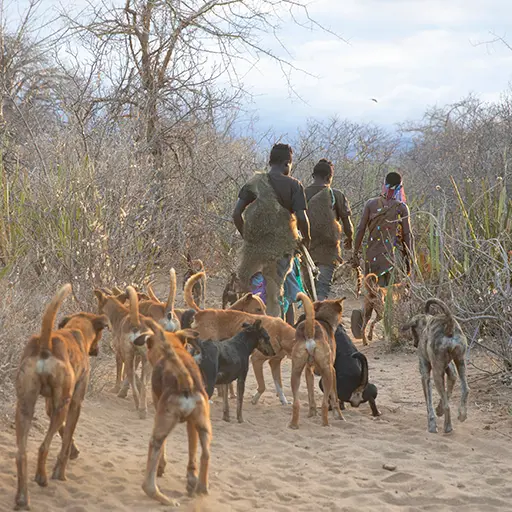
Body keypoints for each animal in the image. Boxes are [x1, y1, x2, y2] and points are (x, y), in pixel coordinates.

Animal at [15, 286, 109, 510]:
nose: (97, 350)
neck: (76, 331)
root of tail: (45, 343)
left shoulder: (51, 405)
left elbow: (64, 431)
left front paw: (74, 451)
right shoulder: (74, 403)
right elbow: (66, 439)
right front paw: (61, 471)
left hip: (24, 407)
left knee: (21, 454)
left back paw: (22, 498)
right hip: (62, 406)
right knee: (43, 447)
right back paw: (42, 477)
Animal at [94, 286, 154, 418]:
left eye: (98, 307)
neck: (119, 314)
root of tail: (136, 323)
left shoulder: (119, 353)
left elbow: (121, 372)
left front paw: (116, 389)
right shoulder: (138, 356)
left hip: (129, 354)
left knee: (131, 375)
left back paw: (137, 405)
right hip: (146, 359)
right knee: (144, 382)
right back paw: (143, 409)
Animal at [134, 320, 212, 504]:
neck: (175, 348)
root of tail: (185, 382)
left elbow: (163, 451)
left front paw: (161, 466)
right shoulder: (192, 424)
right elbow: (192, 454)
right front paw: (191, 478)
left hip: (160, 429)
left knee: (150, 475)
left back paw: (161, 497)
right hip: (205, 427)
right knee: (205, 454)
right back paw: (201, 488)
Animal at [290, 292, 346, 428]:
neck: (323, 319)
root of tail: (310, 331)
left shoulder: (308, 370)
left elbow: (311, 396)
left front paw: (312, 414)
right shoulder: (332, 370)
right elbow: (335, 397)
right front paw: (339, 416)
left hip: (295, 373)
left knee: (296, 403)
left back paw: (293, 424)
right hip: (327, 373)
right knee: (325, 403)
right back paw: (325, 424)